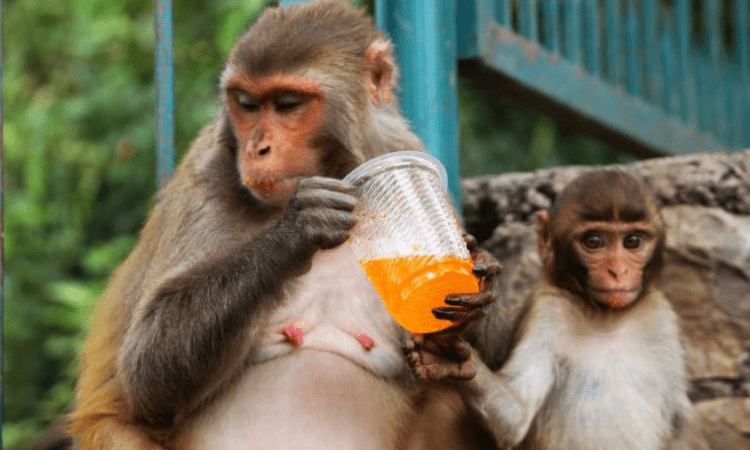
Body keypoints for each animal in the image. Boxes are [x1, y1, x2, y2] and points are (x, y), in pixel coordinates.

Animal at [68, 2, 498, 449]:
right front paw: (299, 228)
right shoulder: (207, 172)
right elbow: (146, 372)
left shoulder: (404, 149)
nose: (257, 149)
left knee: (447, 399)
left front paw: (463, 303)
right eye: (247, 104)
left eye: (288, 104)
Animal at [404, 169, 710, 450]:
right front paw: (450, 359)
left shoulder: (661, 319)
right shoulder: (548, 310)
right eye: (594, 242)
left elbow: (679, 424)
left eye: (632, 241)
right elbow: (514, 419)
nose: (618, 272)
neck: (605, 317)